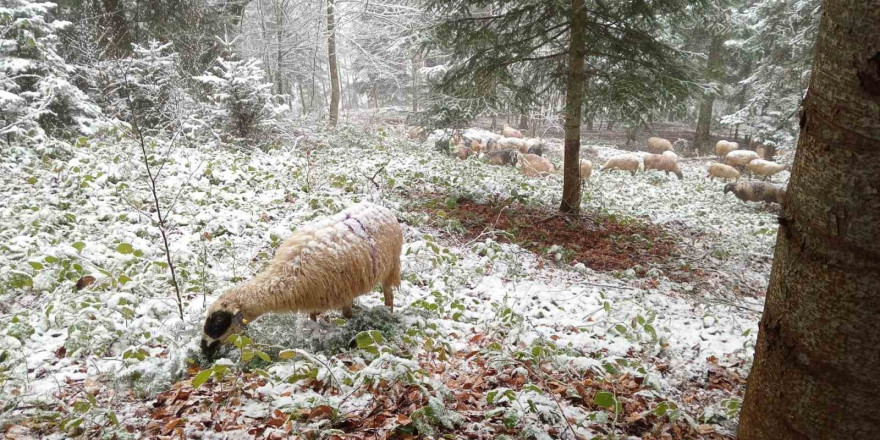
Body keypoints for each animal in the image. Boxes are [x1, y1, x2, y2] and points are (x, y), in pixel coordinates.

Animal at [200, 203, 402, 354]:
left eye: (218, 321)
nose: (203, 348)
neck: (286, 275)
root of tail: (383, 208)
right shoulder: (314, 297)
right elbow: (312, 318)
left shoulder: (343, 293)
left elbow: (347, 316)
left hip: (391, 267)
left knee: (389, 296)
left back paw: (388, 315)